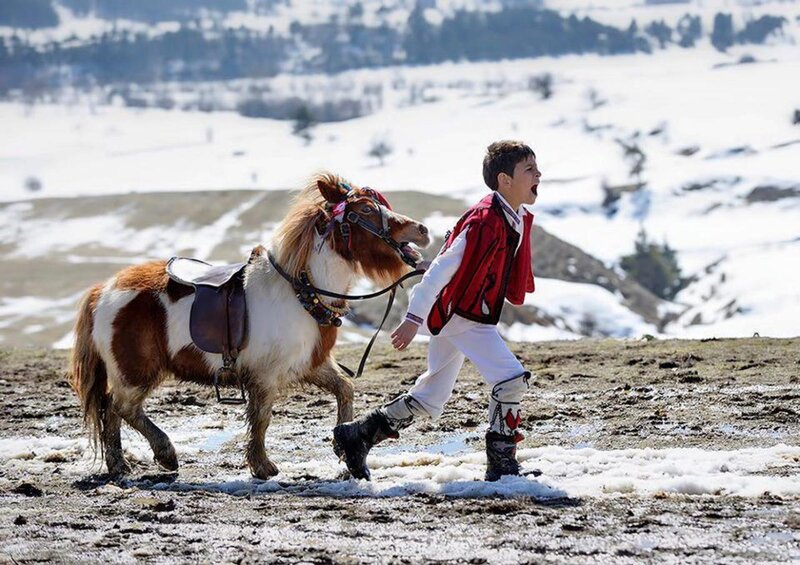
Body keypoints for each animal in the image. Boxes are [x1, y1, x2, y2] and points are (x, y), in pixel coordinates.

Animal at [69, 173, 431, 479]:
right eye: (366, 209)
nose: (423, 230)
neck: (300, 291)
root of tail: (104, 289)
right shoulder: (265, 376)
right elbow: (262, 418)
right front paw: (262, 466)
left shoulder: (310, 365)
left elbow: (345, 389)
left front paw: (344, 447)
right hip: (136, 373)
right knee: (122, 407)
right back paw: (165, 454)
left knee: (111, 411)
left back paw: (119, 465)